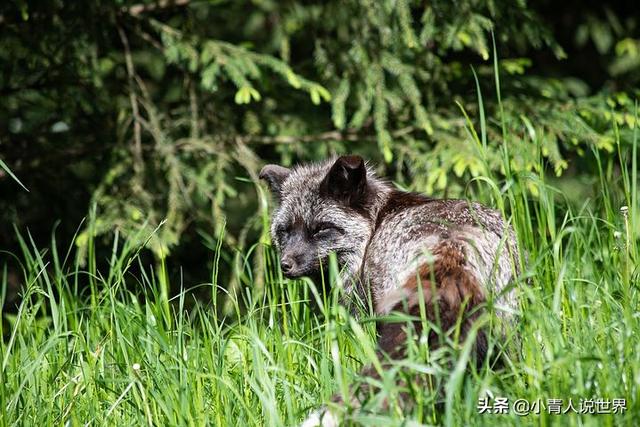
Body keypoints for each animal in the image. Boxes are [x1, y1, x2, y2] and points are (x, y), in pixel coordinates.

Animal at [258, 155, 520, 424]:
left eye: (321, 229)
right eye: (285, 231)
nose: (285, 265)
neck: (375, 225)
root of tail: (453, 246)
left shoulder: (360, 310)